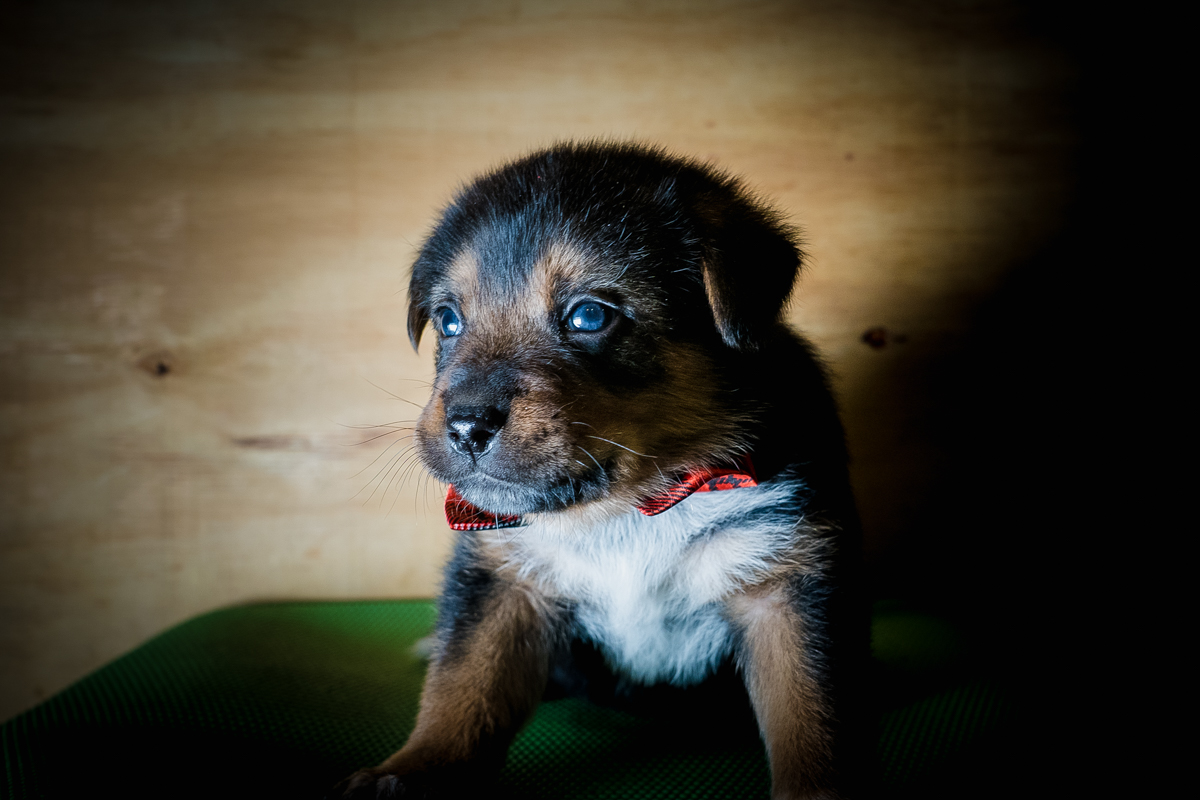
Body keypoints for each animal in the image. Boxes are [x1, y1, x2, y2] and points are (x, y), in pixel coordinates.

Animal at [334, 142, 866, 799]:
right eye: (449, 320)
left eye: (589, 316)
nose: (465, 427)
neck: (627, 508)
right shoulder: (503, 583)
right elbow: (461, 689)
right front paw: (408, 772)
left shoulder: (787, 587)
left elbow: (808, 718)